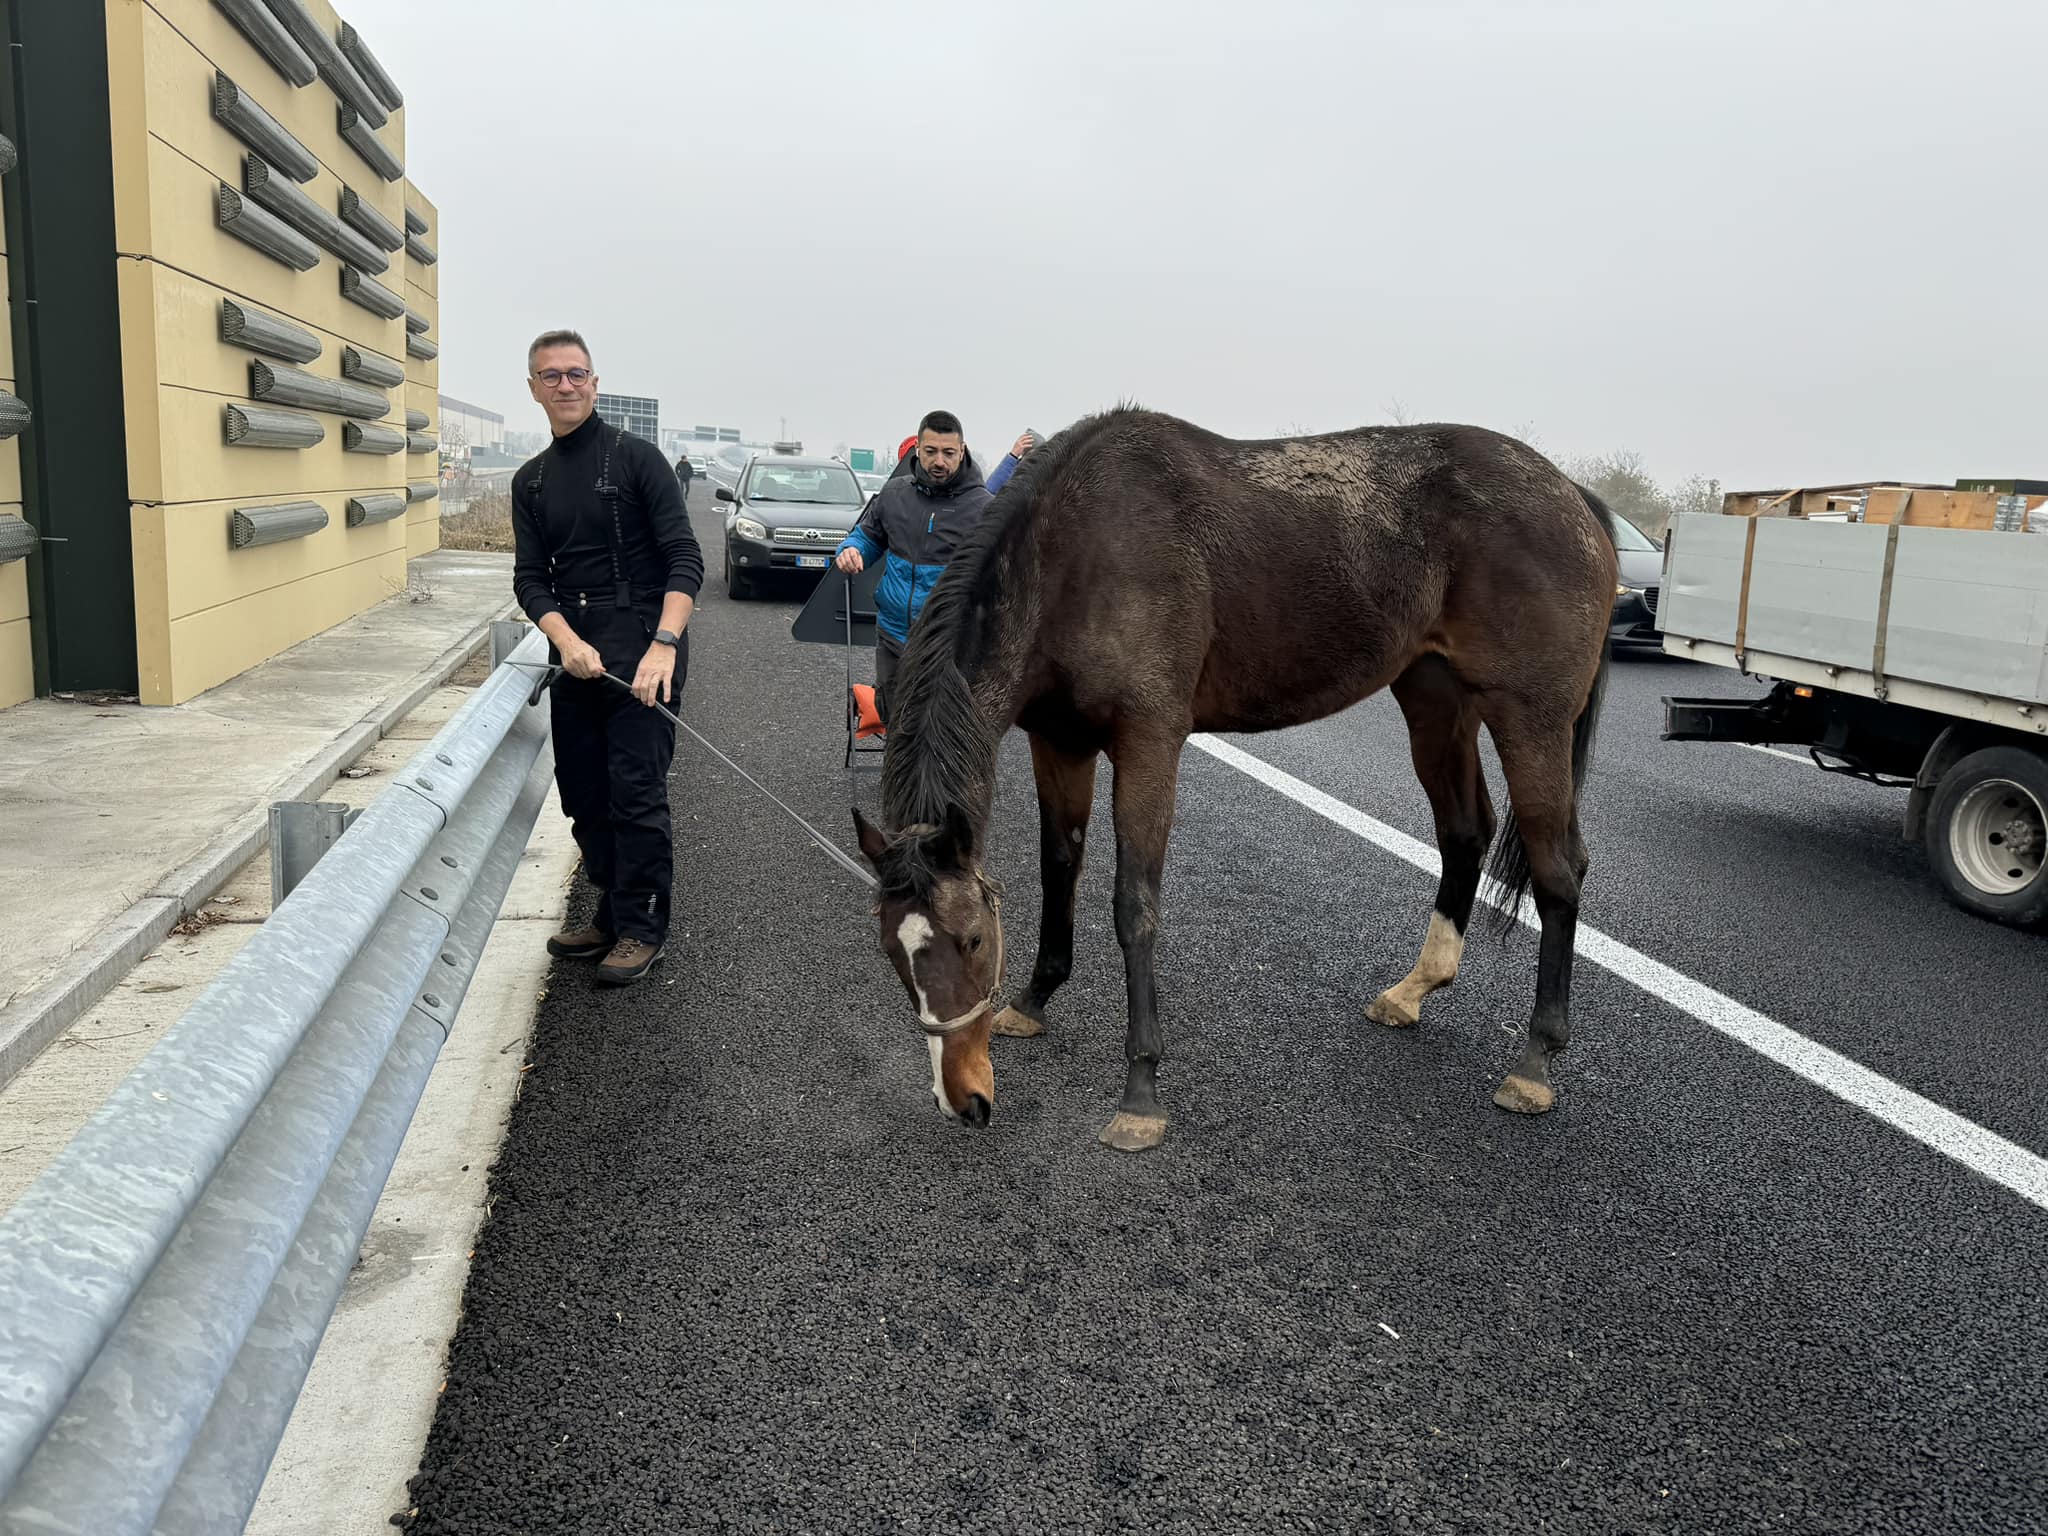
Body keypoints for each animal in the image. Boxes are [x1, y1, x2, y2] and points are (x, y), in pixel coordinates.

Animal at [847, 409, 1613, 1155]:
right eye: (892, 950)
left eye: (974, 940)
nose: (964, 1099)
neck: (1073, 549)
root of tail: (1574, 495)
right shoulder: (1059, 742)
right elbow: (1059, 866)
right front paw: (1036, 999)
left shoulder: (1149, 742)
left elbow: (1134, 904)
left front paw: (1141, 1093)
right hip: (1435, 698)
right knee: (1464, 833)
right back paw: (1415, 988)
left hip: (1531, 719)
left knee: (1558, 868)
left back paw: (1536, 1060)